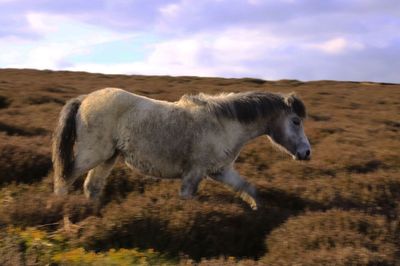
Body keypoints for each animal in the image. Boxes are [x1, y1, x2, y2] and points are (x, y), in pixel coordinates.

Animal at [51, 88, 310, 210]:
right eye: (296, 121)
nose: (307, 153)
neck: (223, 123)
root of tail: (84, 99)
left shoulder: (221, 171)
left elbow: (249, 189)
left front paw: (259, 213)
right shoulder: (194, 172)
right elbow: (186, 198)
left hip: (108, 157)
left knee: (91, 187)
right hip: (92, 154)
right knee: (65, 178)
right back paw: (60, 209)